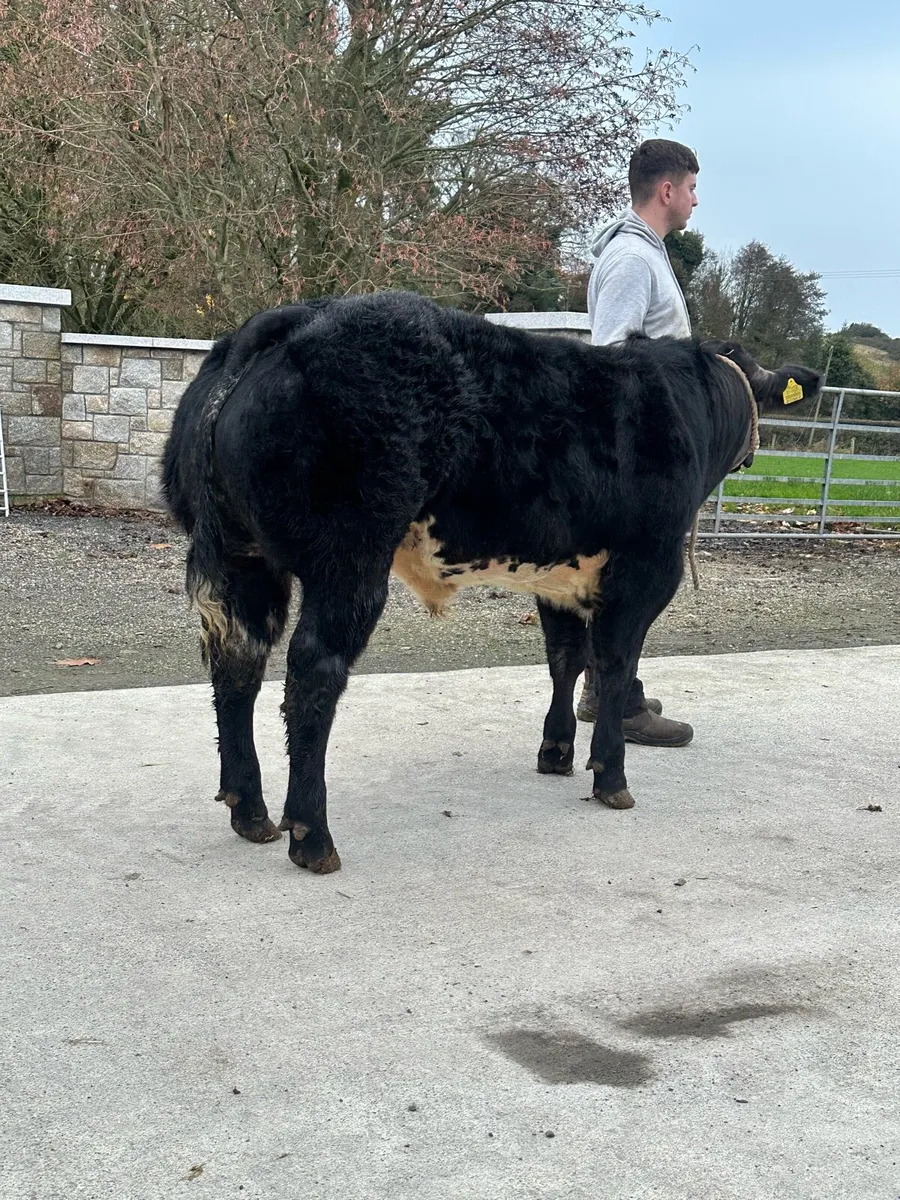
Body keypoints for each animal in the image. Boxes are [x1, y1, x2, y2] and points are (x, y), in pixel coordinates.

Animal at [162, 291, 821, 873]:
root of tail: (294, 319)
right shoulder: (646, 567)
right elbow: (614, 664)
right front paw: (611, 774)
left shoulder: (559, 573)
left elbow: (566, 658)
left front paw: (556, 752)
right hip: (349, 559)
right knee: (313, 671)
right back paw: (312, 836)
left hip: (242, 557)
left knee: (237, 665)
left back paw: (251, 812)